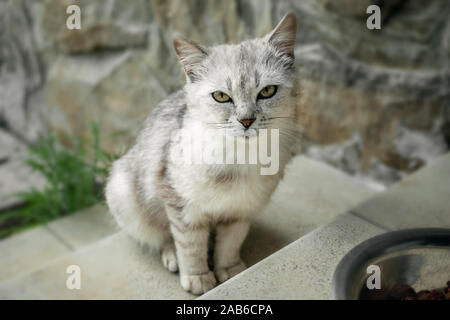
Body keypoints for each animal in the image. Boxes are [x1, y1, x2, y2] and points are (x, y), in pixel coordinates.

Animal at [105, 13, 300, 296]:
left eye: (267, 91)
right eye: (221, 96)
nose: (246, 121)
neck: (240, 157)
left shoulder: (239, 212)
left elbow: (230, 244)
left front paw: (230, 270)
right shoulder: (182, 205)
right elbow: (190, 245)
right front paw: (198, 278)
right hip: (126, 197)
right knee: (163, 236)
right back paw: (172, 257)